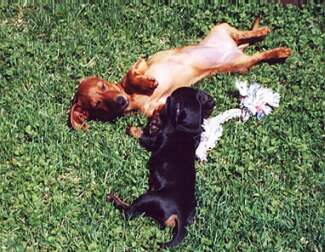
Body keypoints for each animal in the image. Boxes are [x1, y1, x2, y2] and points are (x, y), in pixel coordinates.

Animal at [69, 18, 290, 128]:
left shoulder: (142, 62)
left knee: (246, 34)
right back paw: (277, 50)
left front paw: (147, 82)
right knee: (258, 54)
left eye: (104, 85)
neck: (131, 97)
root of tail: (235, 49)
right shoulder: (153, 106)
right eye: (98, 105)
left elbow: (133, 74)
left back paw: (266, 35)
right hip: (242, 64)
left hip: (223, 29)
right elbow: (157, 110)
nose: (120, 101)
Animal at [106, 87, 214, 248]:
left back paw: (114, 199)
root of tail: (181, 215)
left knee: (130, 212)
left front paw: (134, 129)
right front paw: (155, 120)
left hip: (148, 198)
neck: (188, 127)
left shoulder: (153, 140)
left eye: (171, 99)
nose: (167, 98)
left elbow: (142, 136)